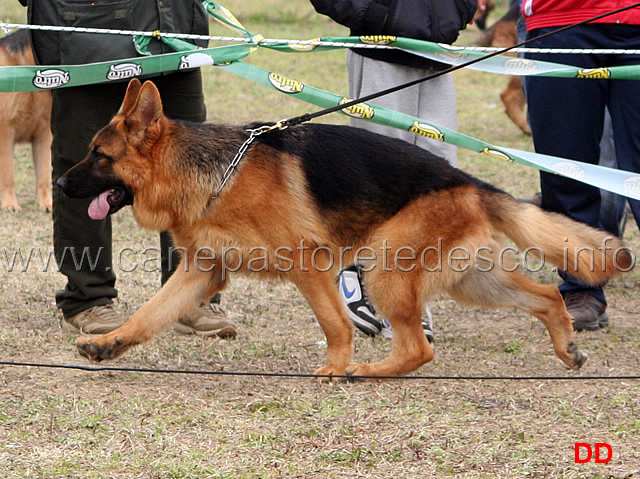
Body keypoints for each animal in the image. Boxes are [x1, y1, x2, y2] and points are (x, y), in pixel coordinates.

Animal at [0, 29, 53, 211]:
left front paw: (46, 203)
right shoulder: (5, 134)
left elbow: (44, 175)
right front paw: (9, 204)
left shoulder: (43, 136)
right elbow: (8, 175)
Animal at [57, 79, 632, 382]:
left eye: (99, 156)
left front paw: (336, 365)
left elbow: (336, 325)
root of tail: (467, 179)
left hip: (384, 269)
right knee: (545, 296)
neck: (214, 173)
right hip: (471, 281)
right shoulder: (202, 273)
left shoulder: (309, 267)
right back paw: (567, 347)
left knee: (419, 350)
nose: (60, 183)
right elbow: (149, 315)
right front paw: (108, 345)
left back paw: (363, 371)